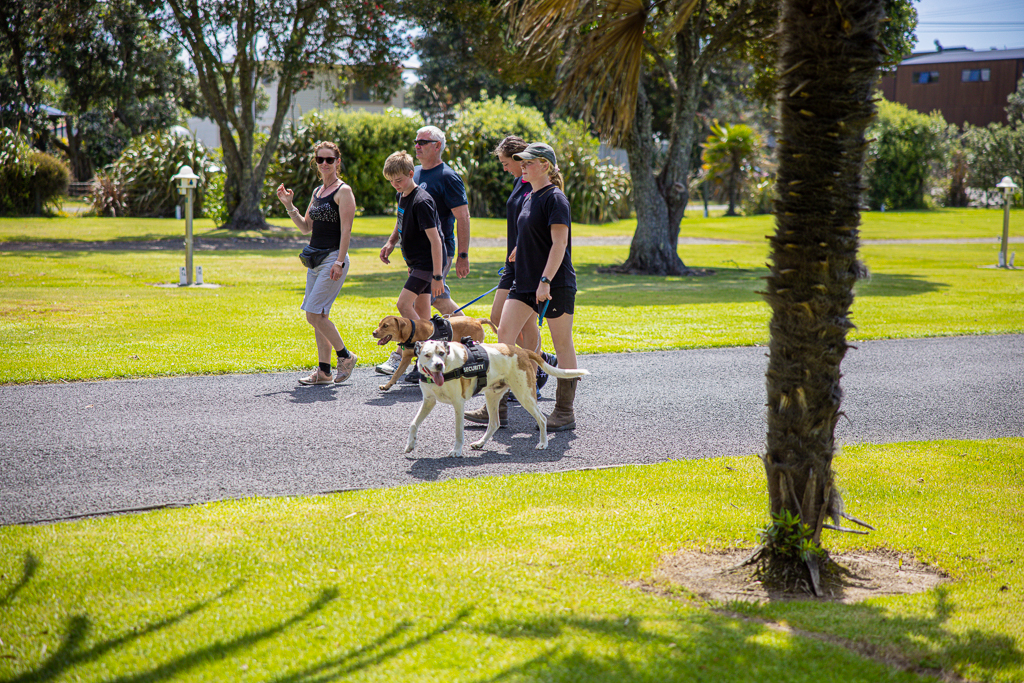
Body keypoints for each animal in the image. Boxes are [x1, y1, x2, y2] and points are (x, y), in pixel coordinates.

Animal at [403, 337, 589, 456]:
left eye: (442, 353)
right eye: (427, 355)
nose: (439, 365)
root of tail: (521, 351)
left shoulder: (458, 404)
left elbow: (458, 432)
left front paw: (456, 451)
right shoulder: (428, 401)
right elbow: (413, 424)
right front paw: (410, 445)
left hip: (524, 395)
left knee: (542, 419)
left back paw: (543, 443)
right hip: (492, 396)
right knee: (494, 423)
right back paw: (480, 443)